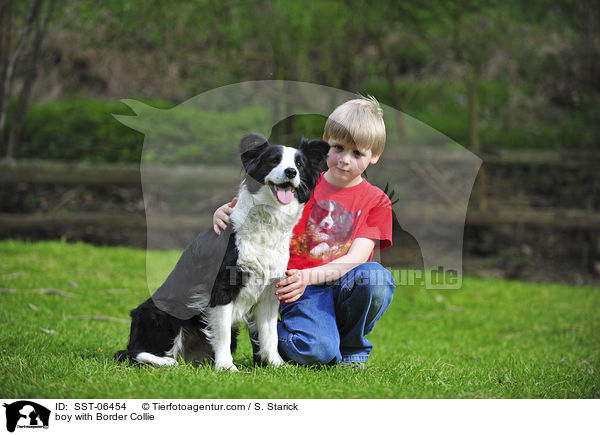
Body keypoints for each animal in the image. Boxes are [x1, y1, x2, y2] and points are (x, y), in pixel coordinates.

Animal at [115, 133, 330, 372]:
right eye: (274, 160)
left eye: (299, 164)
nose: (291, 172)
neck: (266, 222)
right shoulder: (222, 289)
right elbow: (223, 333)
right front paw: (226, 367)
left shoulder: (269, 292)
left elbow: (270, 334)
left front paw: (276, 364)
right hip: (160, 312)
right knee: (132, 353)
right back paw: (167, 360)